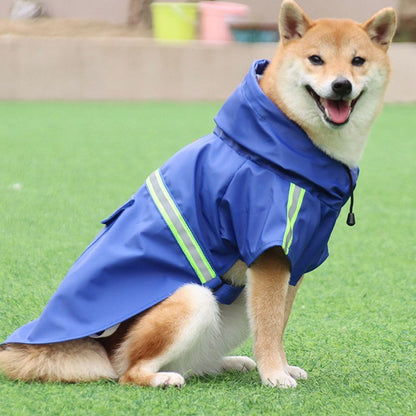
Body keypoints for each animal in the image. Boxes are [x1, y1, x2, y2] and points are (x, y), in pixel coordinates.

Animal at [0, 1, 396, 388]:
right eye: (316, 59)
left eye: (357, 61)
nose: (341, 85)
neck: (283, 147)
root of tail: (98, 347)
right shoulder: (269, 254)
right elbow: (269, 328)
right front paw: (274, 376)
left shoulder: (297, 256)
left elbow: (277, 324)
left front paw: (281, 368)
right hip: (194, 298)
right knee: (127, 371)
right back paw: (162, 378)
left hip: (231, 308)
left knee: (194, 361)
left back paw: (228, 364)